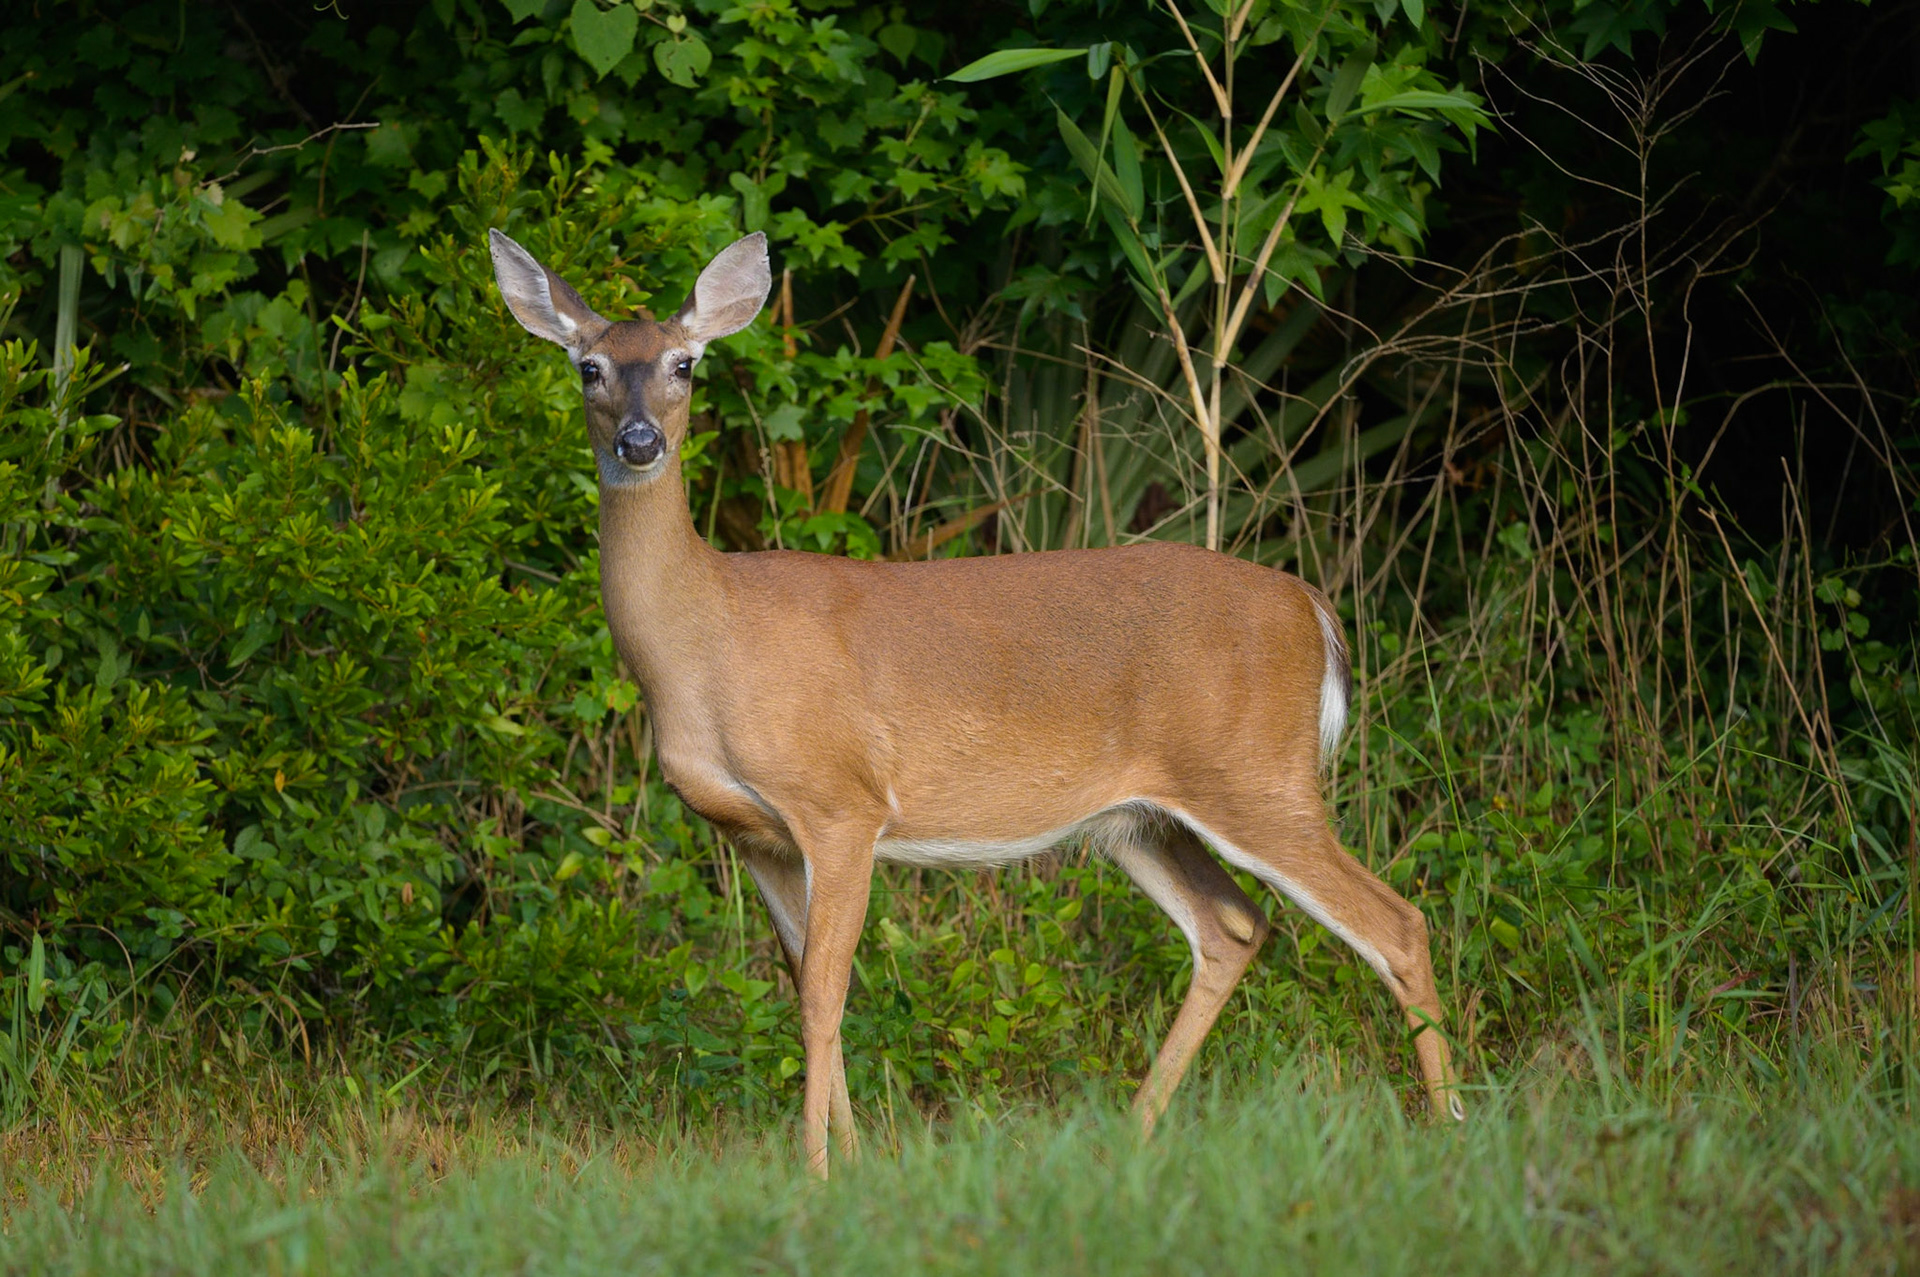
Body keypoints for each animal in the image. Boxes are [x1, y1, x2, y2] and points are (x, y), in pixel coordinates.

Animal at [487, 225, 1463, 1177]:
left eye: (686, 363)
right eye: (589, 367)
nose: (640, 442)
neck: (706, 639)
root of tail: (1313, 610)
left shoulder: (841, 804)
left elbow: (826, 992)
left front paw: (817, 1172)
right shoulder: (755, 835)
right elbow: (809, 984)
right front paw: (858, 1160)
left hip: (1258, 775)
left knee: (1399, 923)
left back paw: (1448, 1124)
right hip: (1145, 817)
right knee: (1233, 927)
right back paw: (1134, 1132)